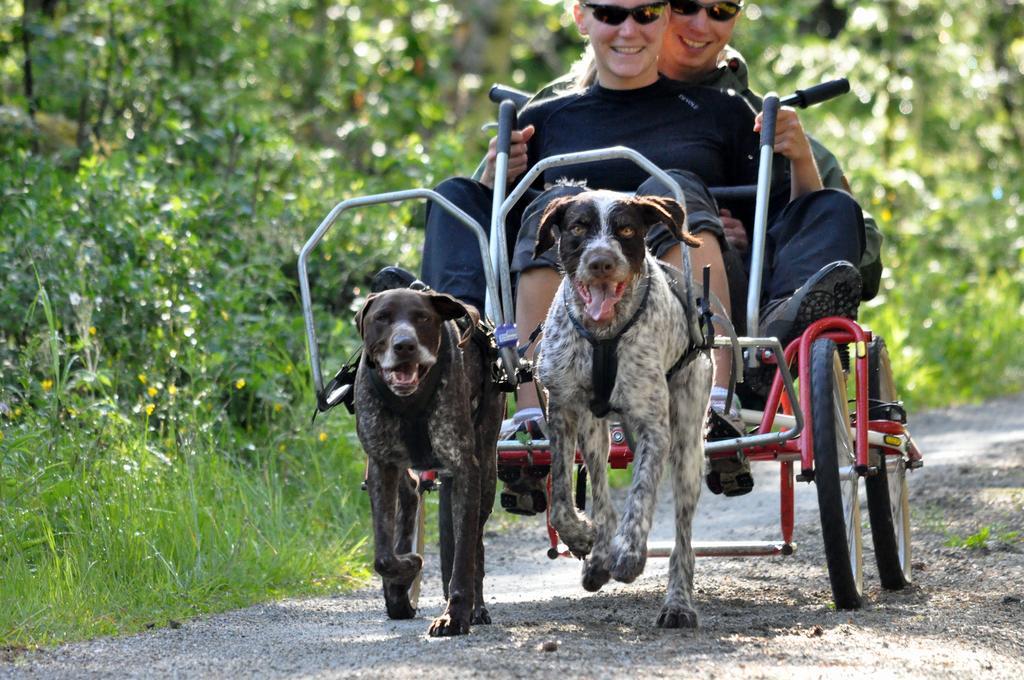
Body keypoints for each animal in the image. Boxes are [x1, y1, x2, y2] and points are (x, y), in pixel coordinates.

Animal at [354, 284, 505, 634]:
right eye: (382, 317)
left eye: (422, 317)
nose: (404, 346)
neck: (409, 403)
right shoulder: (381, 466)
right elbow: (384, 556)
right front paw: (406, 569)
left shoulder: (465, 469)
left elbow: (463, 556)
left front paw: (455, 615)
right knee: (410, 494)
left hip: (486, 474)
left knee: (475, 544)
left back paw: (476, 607)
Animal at [532, 188, 716, 630]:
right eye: (579, 228)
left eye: (627, 230)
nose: (601, 261)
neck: (604, 337)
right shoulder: (563, 411)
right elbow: (562, 499)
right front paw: (583, 538)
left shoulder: (655, 430)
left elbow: (641, 497)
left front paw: (630, 555)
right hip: (596, 433)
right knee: (601, 492)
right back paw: (599, 555)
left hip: (687, 447)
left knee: (682, 538)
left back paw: (677, 603)